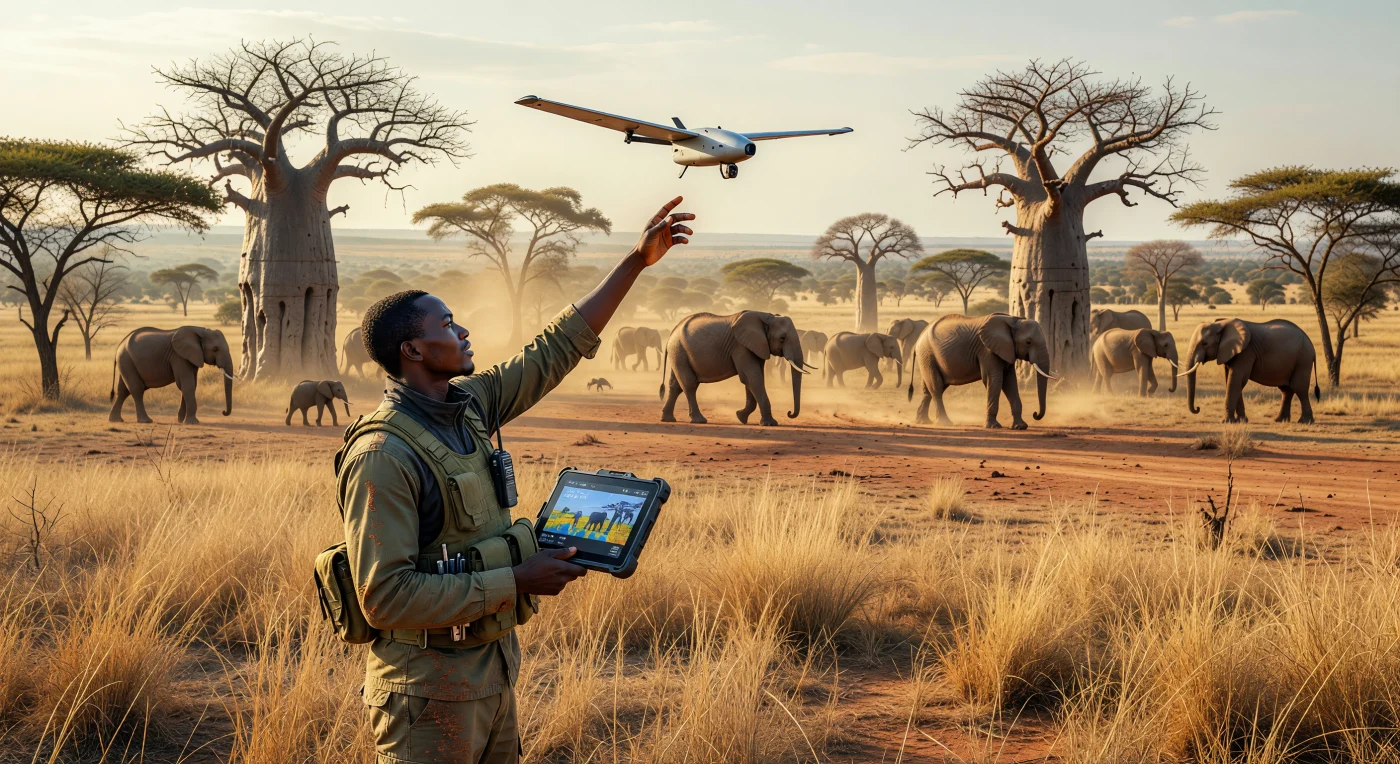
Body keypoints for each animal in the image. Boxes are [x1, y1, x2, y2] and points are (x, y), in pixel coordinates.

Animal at [659, 311, 809, 427]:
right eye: (782, 338)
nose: (789, 413)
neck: (767, 316)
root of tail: (672, 332)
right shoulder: (741, 347)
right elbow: (753, 378)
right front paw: (770, 424)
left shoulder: (755, 347)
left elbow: (752, 378)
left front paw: (740, 417)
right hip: (679, 350)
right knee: (689, 384)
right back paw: (699, 420)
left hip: (678, 352)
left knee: (676, 386)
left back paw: (668, 419)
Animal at [907, 313, 1054, 429]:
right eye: (1028, 342)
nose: (1035, 414)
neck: (1013, 320)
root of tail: (918, 339)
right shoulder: (987, 350)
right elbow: (994, 379)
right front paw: (993, 427)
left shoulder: (1007, 350)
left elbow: (1010, 382)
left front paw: (1020, 427)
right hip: (927, 355)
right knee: (936, 388)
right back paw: (944, 423)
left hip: (929, 357)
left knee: (931, 389)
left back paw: (922, 421)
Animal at [1181, 318, 1320, 424]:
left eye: (1204, 343)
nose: (1198, 408)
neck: (1222, 324)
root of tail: (1311, 346)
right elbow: (1231, 381)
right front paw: (1241, 421)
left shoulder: (1246, 352)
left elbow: (1236, 380)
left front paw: (1226, 421)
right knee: (1286, 390)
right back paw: (1280, 420)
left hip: (1303, 359)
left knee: (1299, 388)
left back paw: (1304, 422)